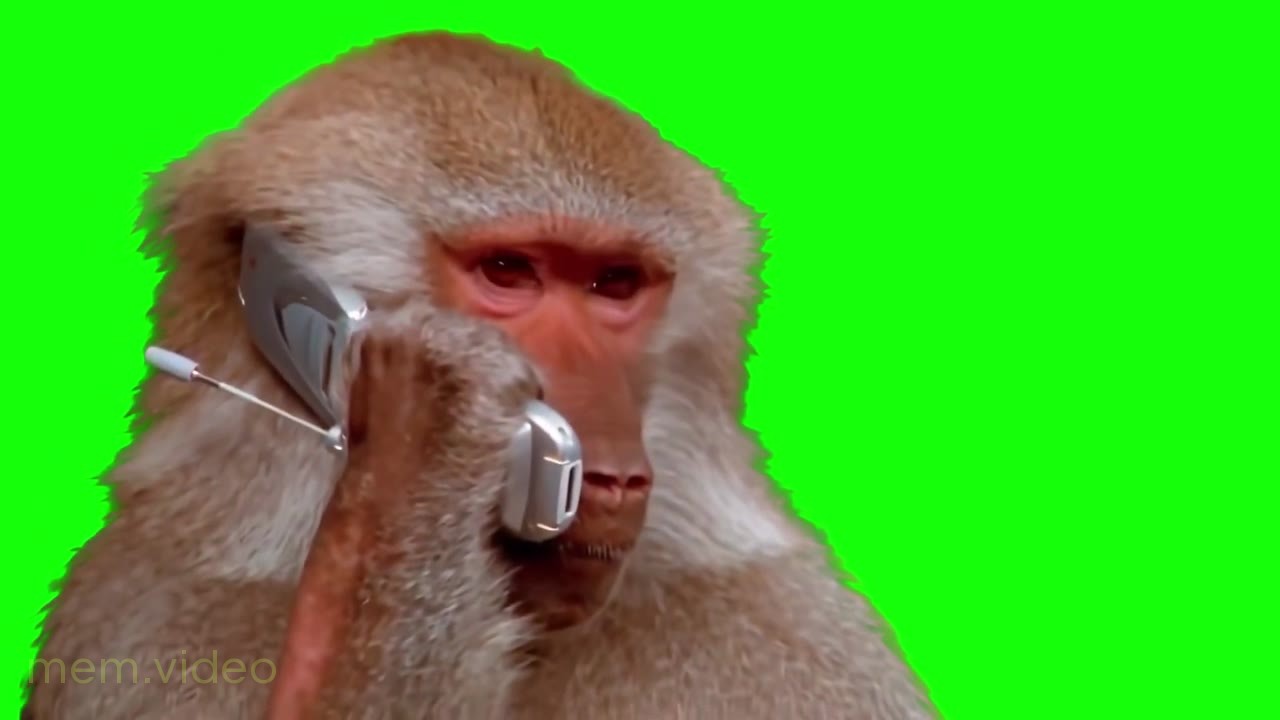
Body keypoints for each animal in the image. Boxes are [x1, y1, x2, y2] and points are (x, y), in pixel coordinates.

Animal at [27, 32, 936, 719]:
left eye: (616, 285)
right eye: (508, 271)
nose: (610, 473)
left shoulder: (798, 632)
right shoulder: (143, 619)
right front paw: (428, 437)